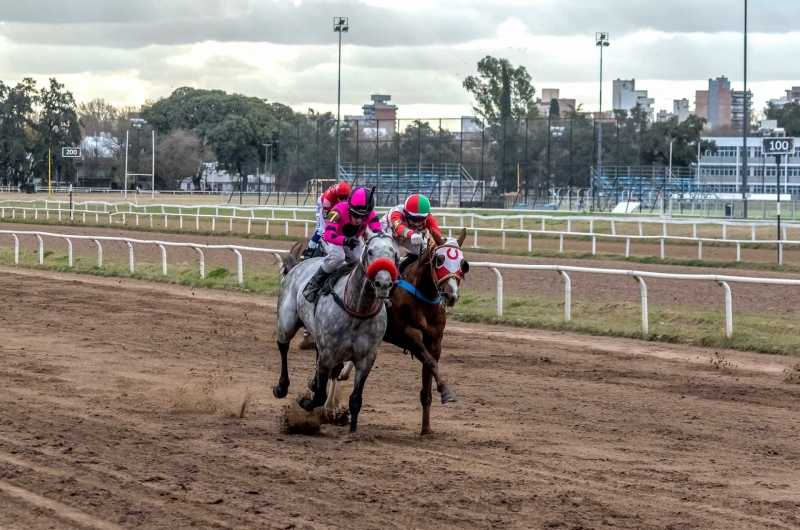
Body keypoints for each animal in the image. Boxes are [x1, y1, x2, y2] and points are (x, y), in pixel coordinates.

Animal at [276, 229, 400, 432]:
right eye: (370, 252)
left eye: (394, 254)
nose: (383, 283)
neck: (358, 309)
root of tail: (299, 264)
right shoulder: (328, 355)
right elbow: (319, 397)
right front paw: (305, 402)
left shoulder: (366, 359)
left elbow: (356, 399)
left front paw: (353, 431)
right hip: (287, 322)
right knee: (283, 346)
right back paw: (281, 387)